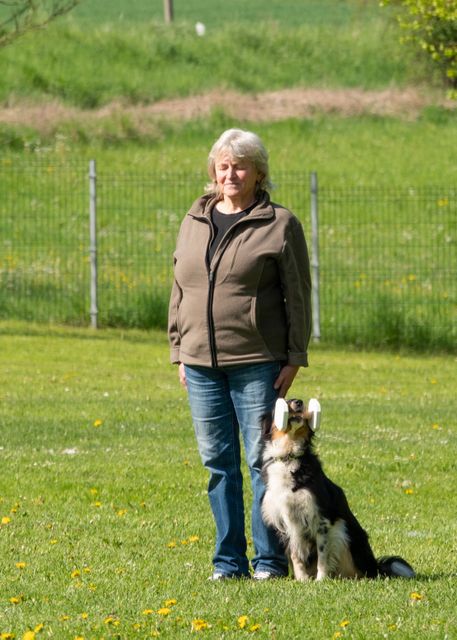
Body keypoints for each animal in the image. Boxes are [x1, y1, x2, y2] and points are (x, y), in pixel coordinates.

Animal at [261, 398, 416, 581]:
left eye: (299, 402)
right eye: (286, 401)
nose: (298, 402)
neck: (289, 456)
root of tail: (375, 566)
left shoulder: (323, 519)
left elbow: (323, 555)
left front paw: (320, 580)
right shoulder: (286, 521)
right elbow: (295, 554)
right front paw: (302, 580)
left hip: (345, 533)